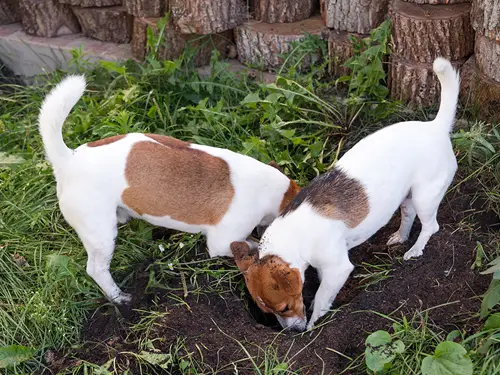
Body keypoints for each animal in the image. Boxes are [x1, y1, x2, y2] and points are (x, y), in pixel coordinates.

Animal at [229, 55, 458, 332]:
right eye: (267, 312)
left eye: (284, 307)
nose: (291, 332)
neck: (293, 234)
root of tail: (436, 127)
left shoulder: (337, 268)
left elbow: (320, 298)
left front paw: (315, 323)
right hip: (408, 196)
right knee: (408, 215)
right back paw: (400, 237)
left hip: (426, 196)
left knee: (431, 226)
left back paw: (415, 250)